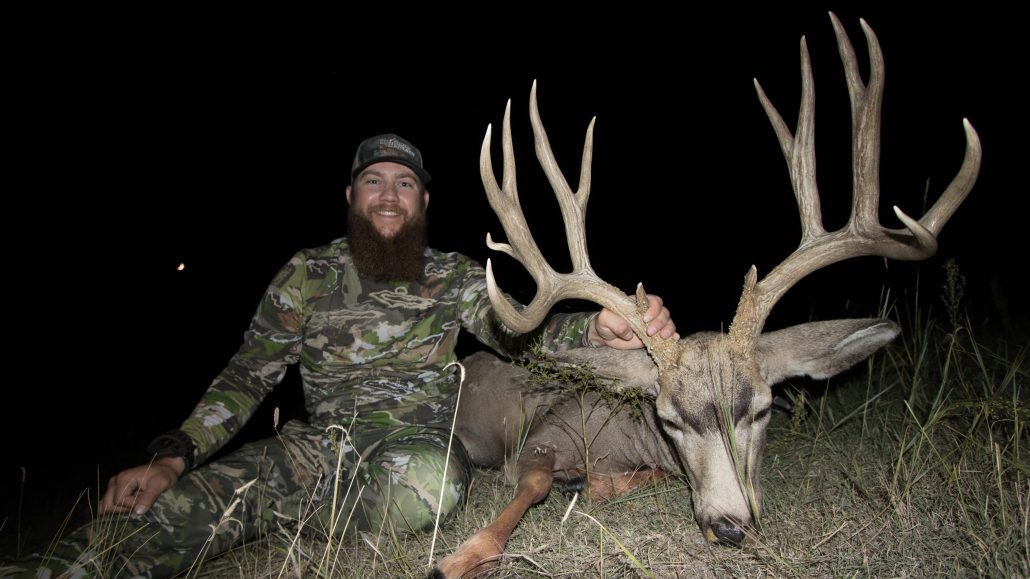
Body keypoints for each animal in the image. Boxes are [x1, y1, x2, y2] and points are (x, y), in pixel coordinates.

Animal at [432, 12, 981, 578]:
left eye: (762, 409)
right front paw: (461, 557)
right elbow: (534, 483)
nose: (729, 526)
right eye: (669, 417)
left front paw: (595, 482)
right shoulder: (541, 436)